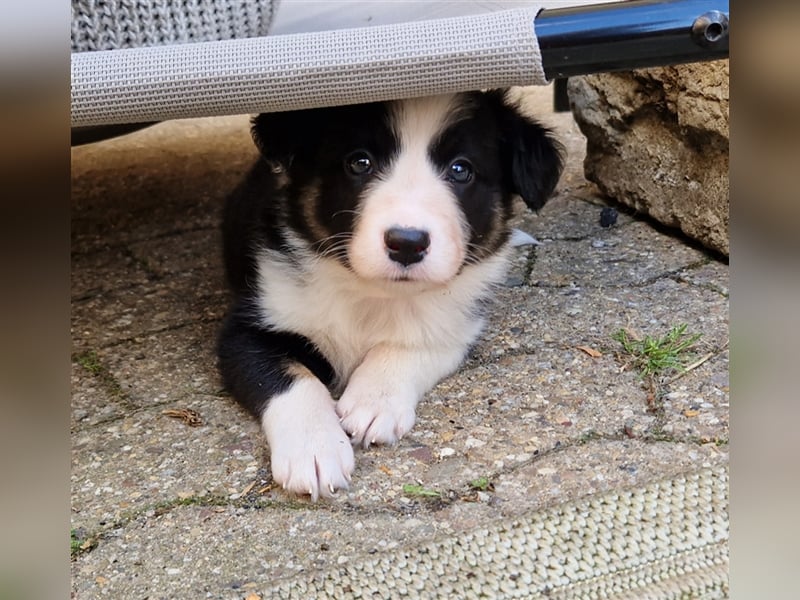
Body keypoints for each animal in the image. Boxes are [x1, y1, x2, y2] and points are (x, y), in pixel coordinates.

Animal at [219, 90, 564, 502]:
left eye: (461, 170)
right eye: (359, 162)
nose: (407, 243)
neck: (371, 293)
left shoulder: (457, 324)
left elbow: (409, 344)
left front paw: (374, 402)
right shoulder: (247, 327)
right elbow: (289, 379)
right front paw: (315, 448)